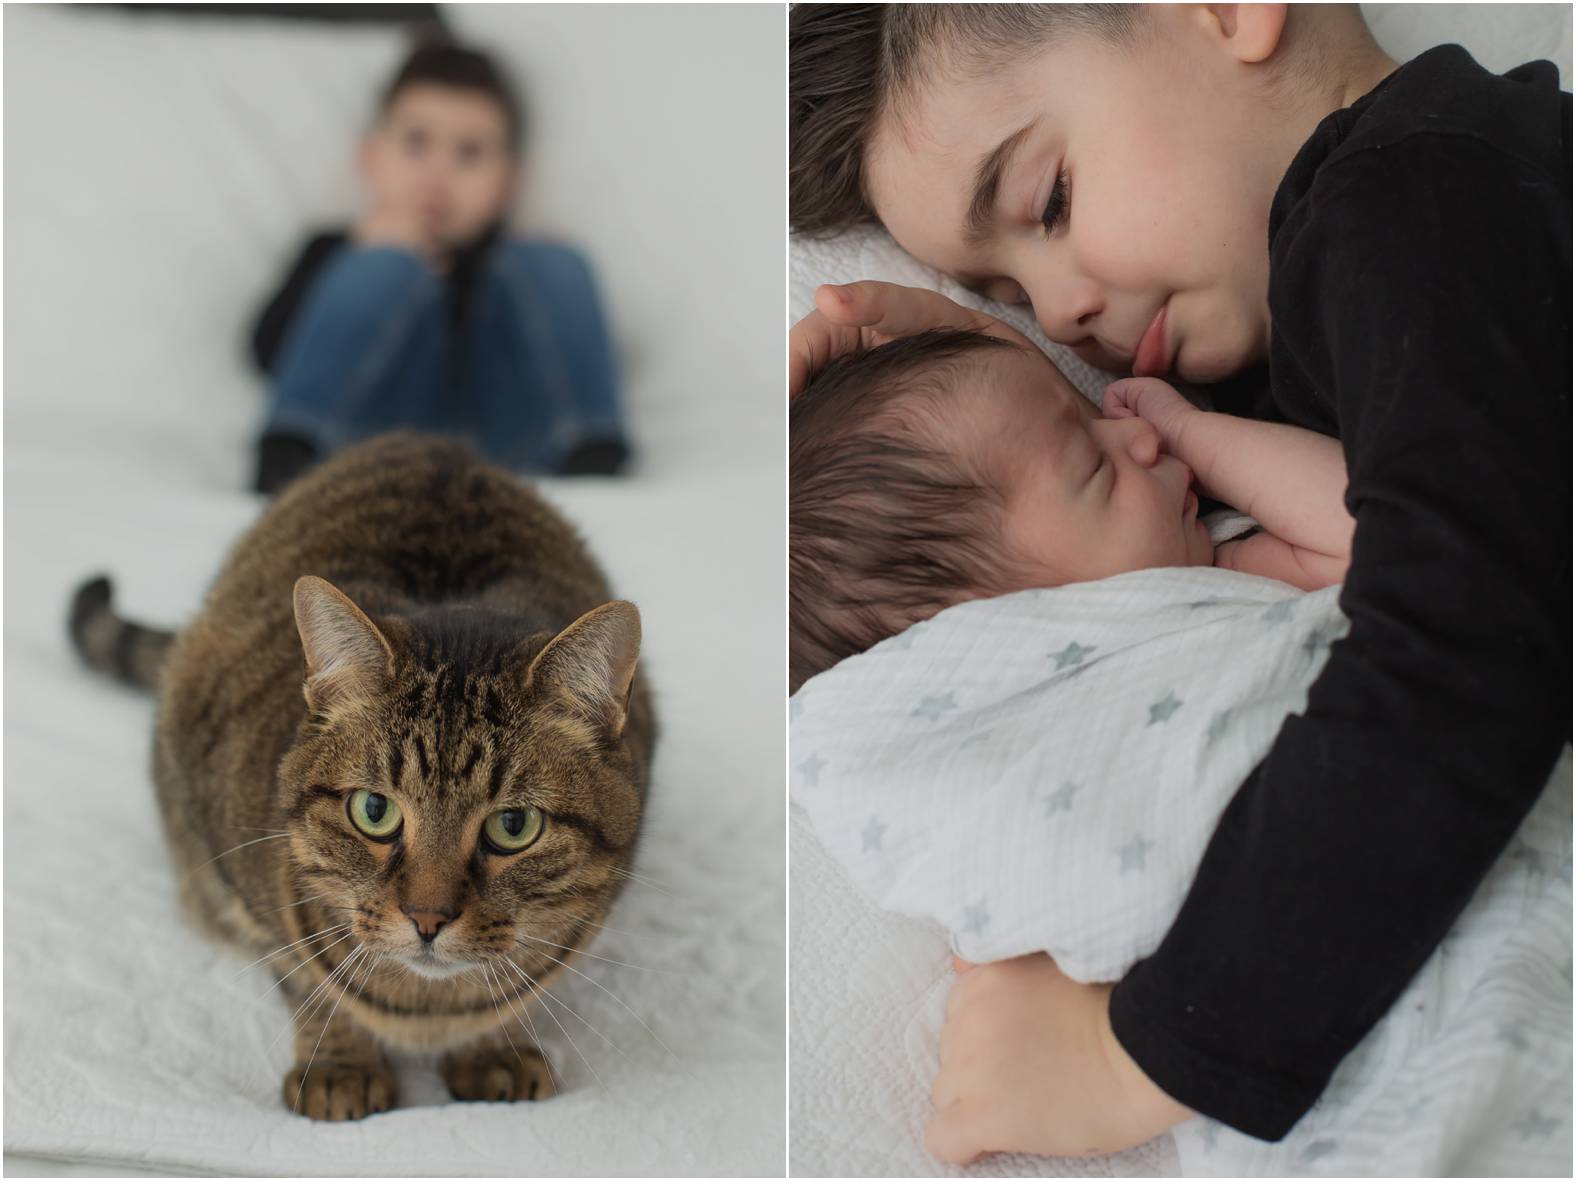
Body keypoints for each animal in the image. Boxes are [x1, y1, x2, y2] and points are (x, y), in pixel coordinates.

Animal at [69, 432, 652, 1116]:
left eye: (514, 825)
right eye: (375, 811)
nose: (428, 919)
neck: (427, 1009)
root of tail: (428, 439)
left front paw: (496, 1050)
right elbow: (307, 983)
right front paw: (340, 1066)